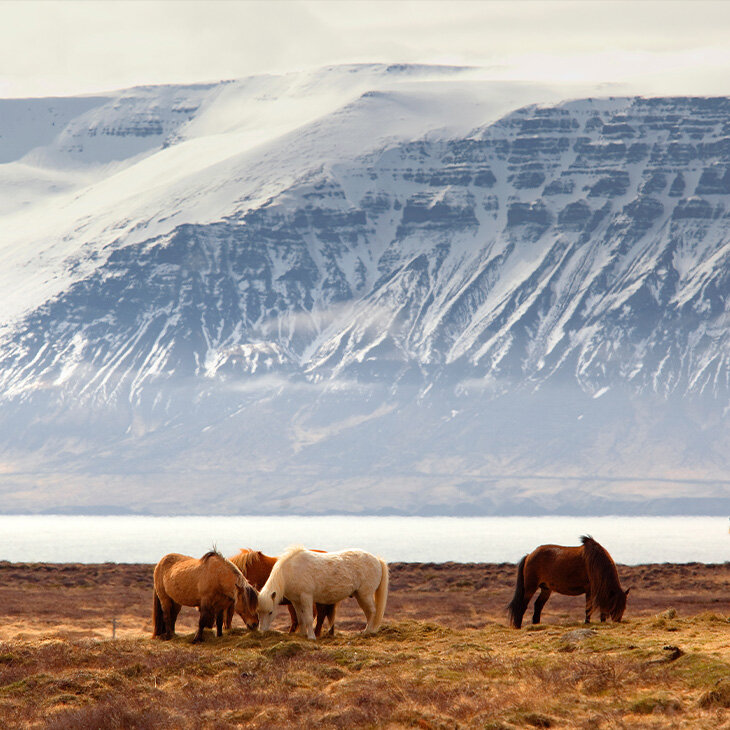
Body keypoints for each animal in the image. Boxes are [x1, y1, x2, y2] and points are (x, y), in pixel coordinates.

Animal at [258, 540, 390, 636]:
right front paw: (302, 635)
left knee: (372, 611)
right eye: (259, 612)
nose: (262, 631)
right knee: (368, 613)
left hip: (365, 595)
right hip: (360, 596)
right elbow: (301, 619)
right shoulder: (296, 601)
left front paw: (311, 637)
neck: (290, 570)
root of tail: (377, 560)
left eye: (270, 612)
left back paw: (367, 632)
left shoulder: (306, 597)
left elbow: (308, 618)